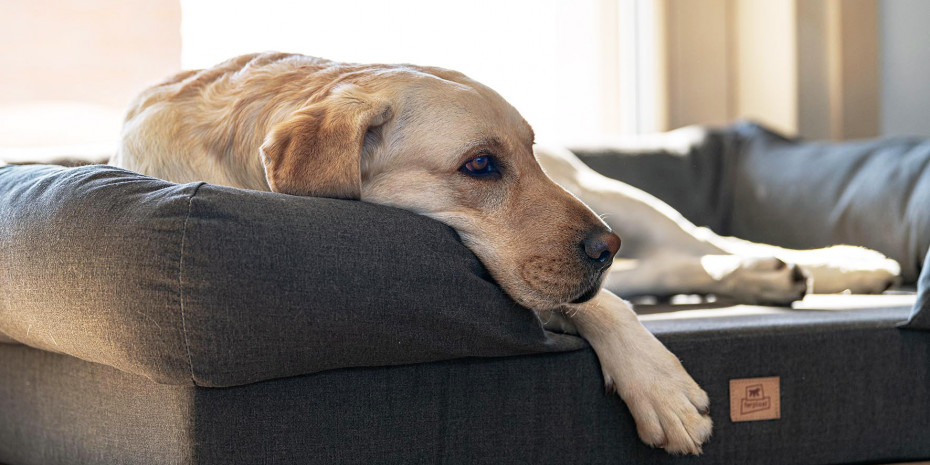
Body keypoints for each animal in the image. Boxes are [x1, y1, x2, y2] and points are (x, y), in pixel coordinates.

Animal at [109, 51, 900, 454]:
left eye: (526, 151)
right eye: (481, 165)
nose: (603, 245)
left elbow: (607, 299)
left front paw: (658, 381)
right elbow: (600, 302)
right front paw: (658, 380)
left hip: (610, 191)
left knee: (700, 245)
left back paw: (832, 264)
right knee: (662, 269)